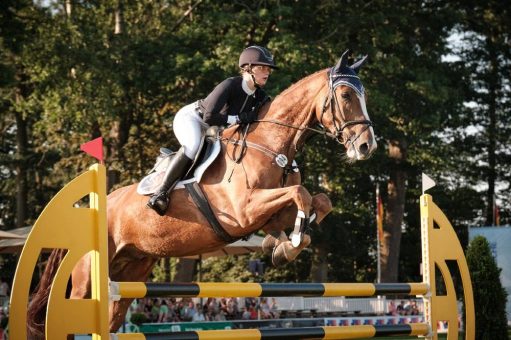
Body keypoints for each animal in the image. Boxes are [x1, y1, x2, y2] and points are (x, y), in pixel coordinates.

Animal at [27, 50, 376, 338]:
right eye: (346, 94)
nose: (366, 146)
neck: (270, 144)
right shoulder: (244, 211)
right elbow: (301, 193)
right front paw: (289, 243)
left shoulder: (268, 210)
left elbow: (318, 201)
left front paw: (281, 246)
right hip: (86, 280)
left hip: (130, 271)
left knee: (113, 318)